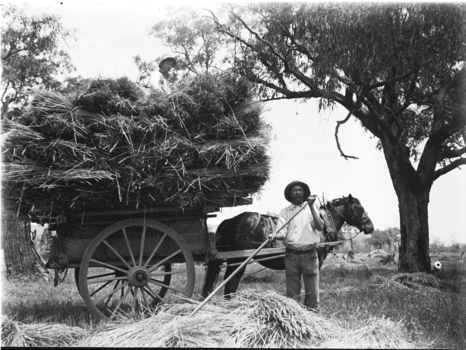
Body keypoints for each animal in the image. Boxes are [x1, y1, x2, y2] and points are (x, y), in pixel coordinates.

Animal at [201, 194, 374, 298]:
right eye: (359, 209)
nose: (370, 227)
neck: (323, 225)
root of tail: (229, 221)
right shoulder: (316, 260)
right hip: (238, 260)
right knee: (231, 283)